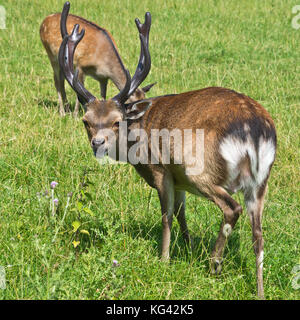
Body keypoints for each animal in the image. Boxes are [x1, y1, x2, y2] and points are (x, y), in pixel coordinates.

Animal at [58, 2, 276, 298]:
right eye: (86, 121)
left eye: (116, 121)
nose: (97, 143)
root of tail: (253, 129)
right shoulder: (180, 179)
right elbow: (182, 214)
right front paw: (188, 247)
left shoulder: (162, 169)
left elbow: (167, 216)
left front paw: (164, 259)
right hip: (260, 182)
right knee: (258, 236)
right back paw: (259, 290)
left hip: (202, 170)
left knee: (232, 208)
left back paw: (215, 264)